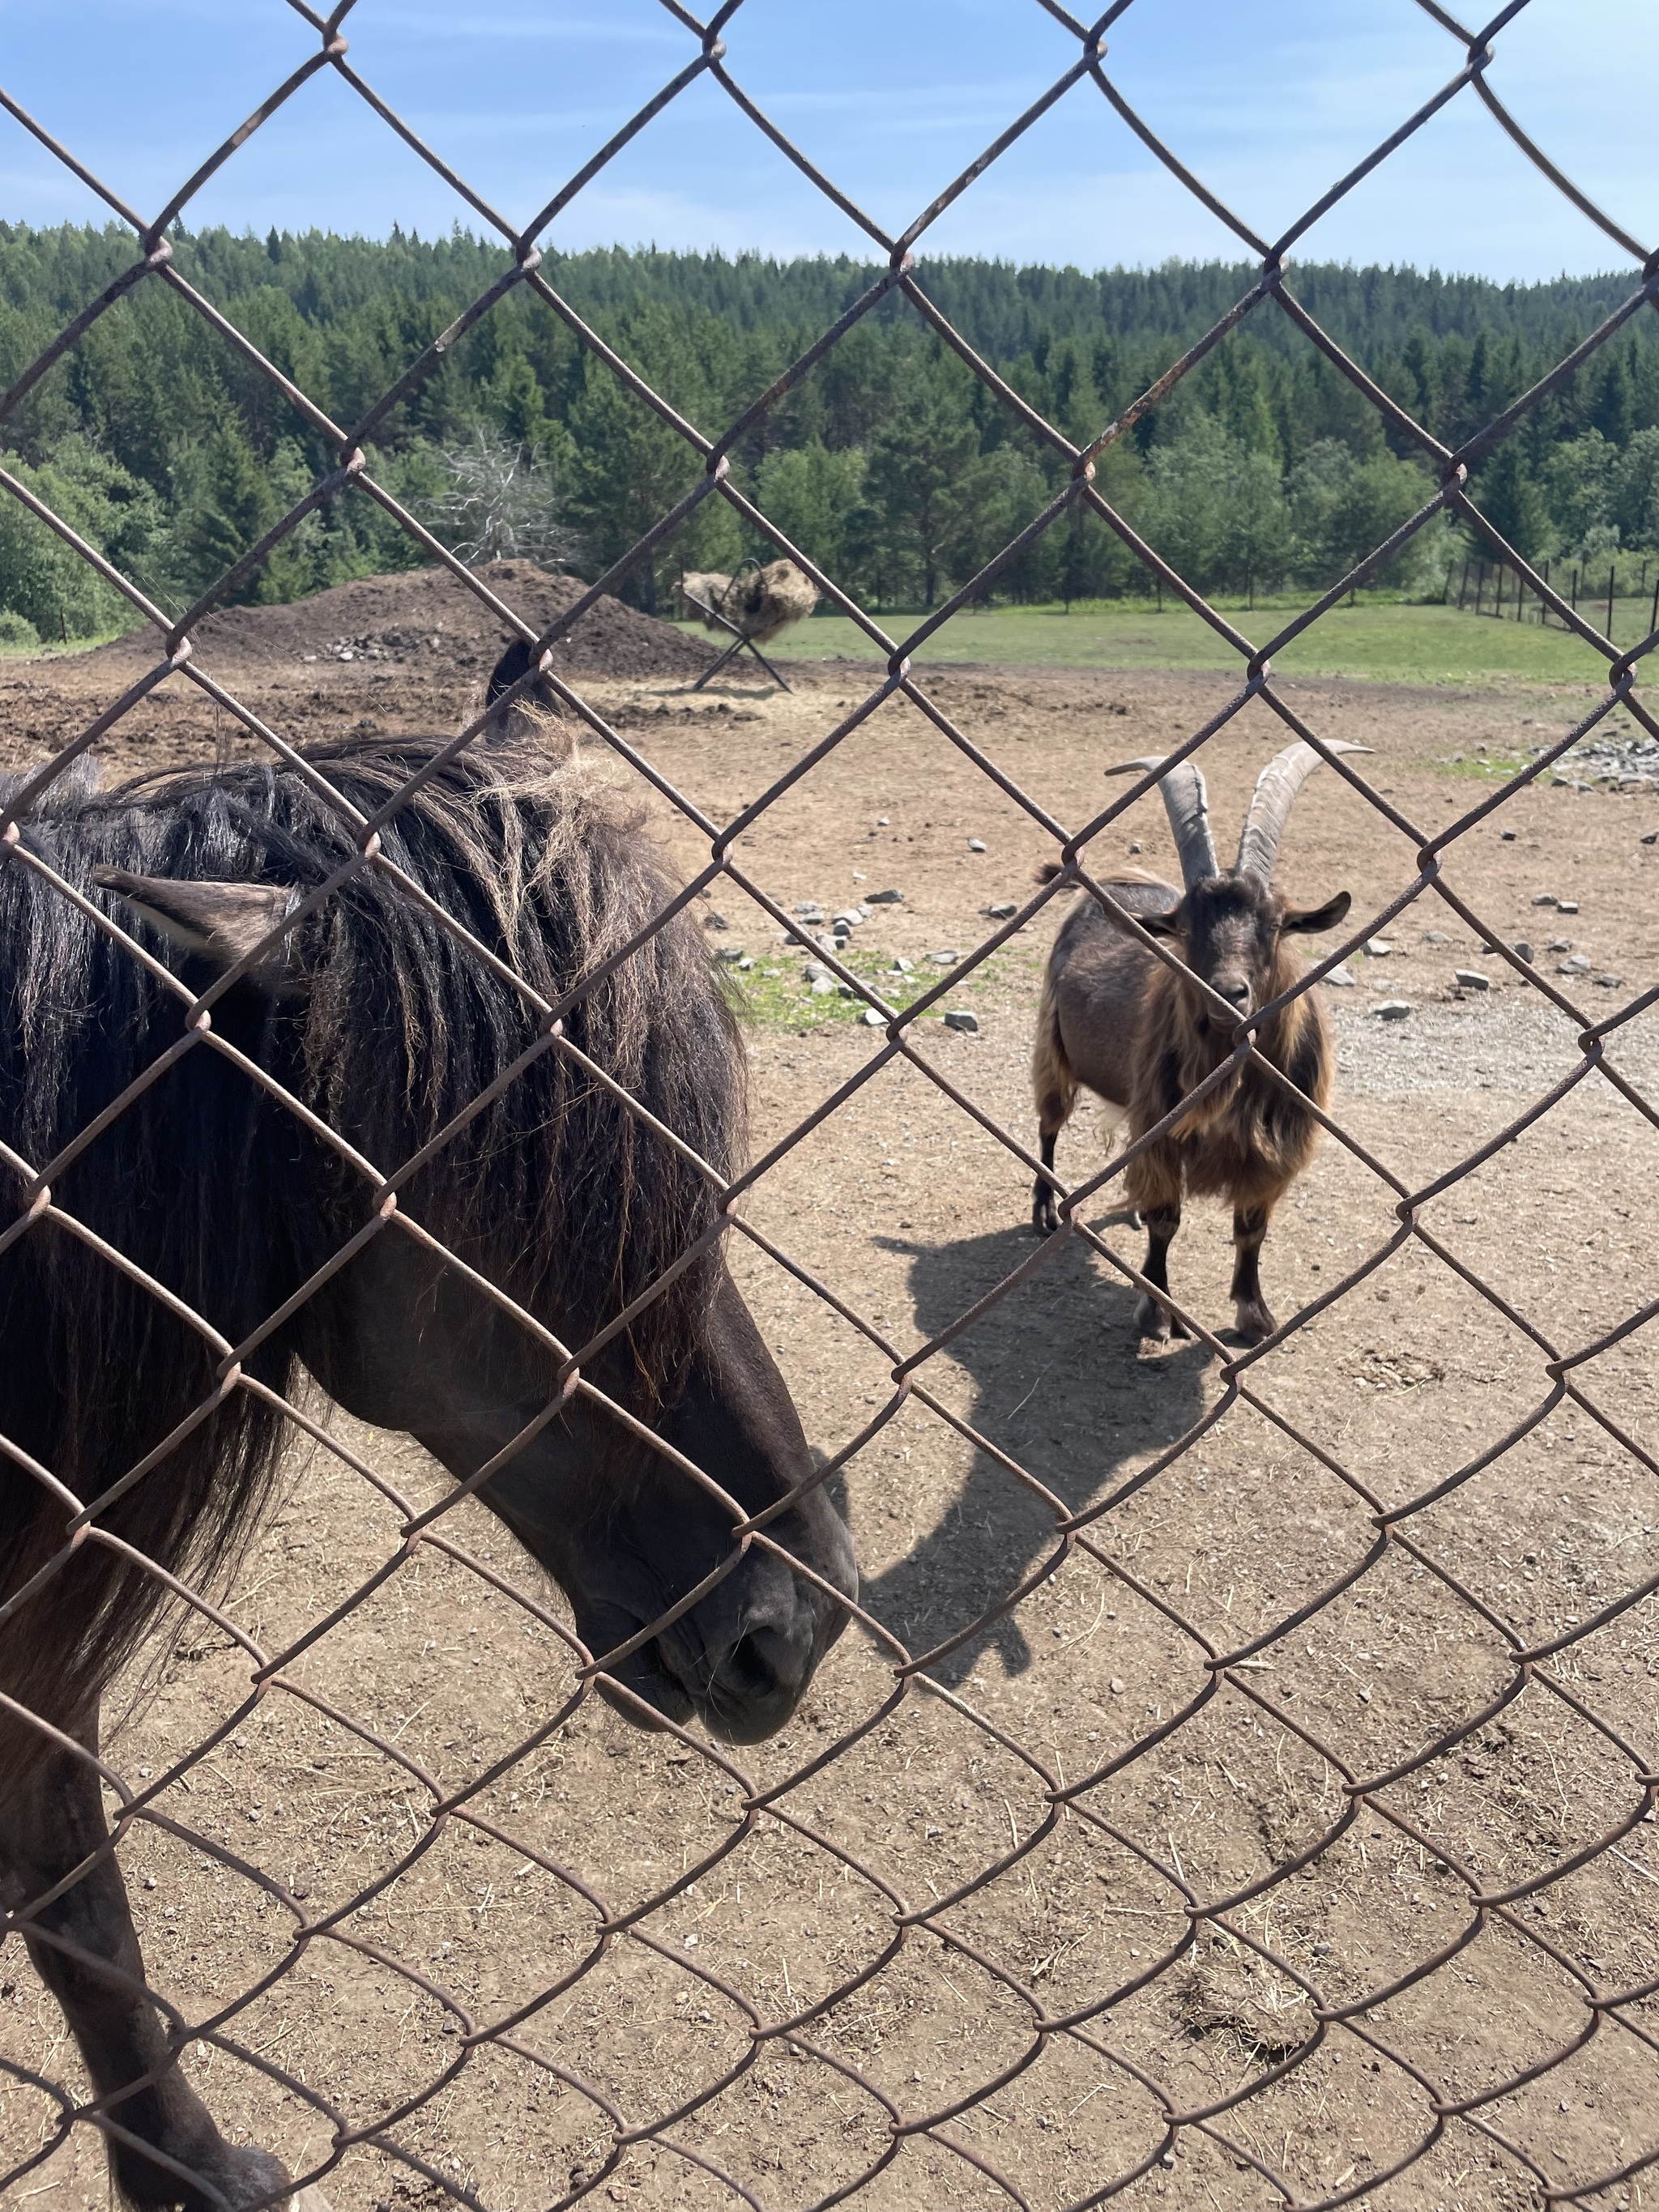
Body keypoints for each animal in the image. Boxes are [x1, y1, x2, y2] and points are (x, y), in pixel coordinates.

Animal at [1039, 739, 1363, 1345]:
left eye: (1274, 924)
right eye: (1187, 926)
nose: (1227, 993)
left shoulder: (1272, 1150)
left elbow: (1252, 1228)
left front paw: (1254, 1314)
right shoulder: (1163, 1128)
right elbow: (1167, 1220)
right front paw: (1157, 1312)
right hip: (1051, 1045)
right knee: (1048, 1124)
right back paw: (1045, 1211)